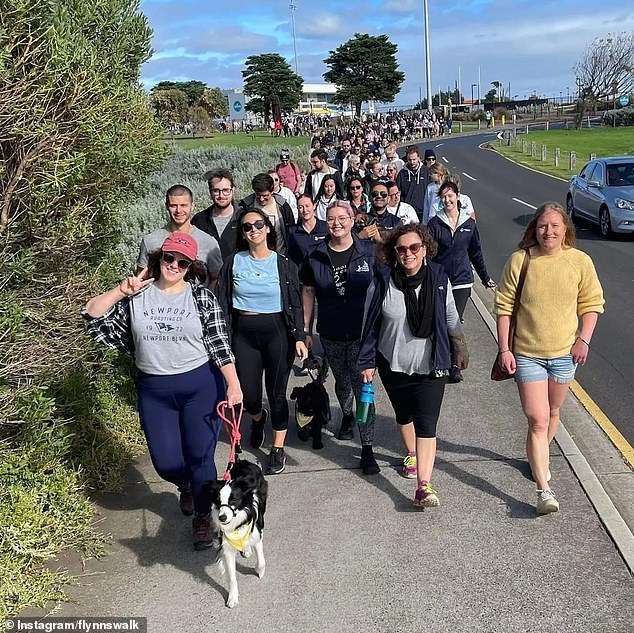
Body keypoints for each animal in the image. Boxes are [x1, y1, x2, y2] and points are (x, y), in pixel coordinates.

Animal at [204, 460, 268, 608]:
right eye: (218, 501)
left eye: (233, 500)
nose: (222, 518)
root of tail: (243, 461)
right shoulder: (227, 548)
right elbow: (232, 576)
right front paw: (232, 597)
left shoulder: (256, 535)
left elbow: (261, 561)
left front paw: (259, 571)